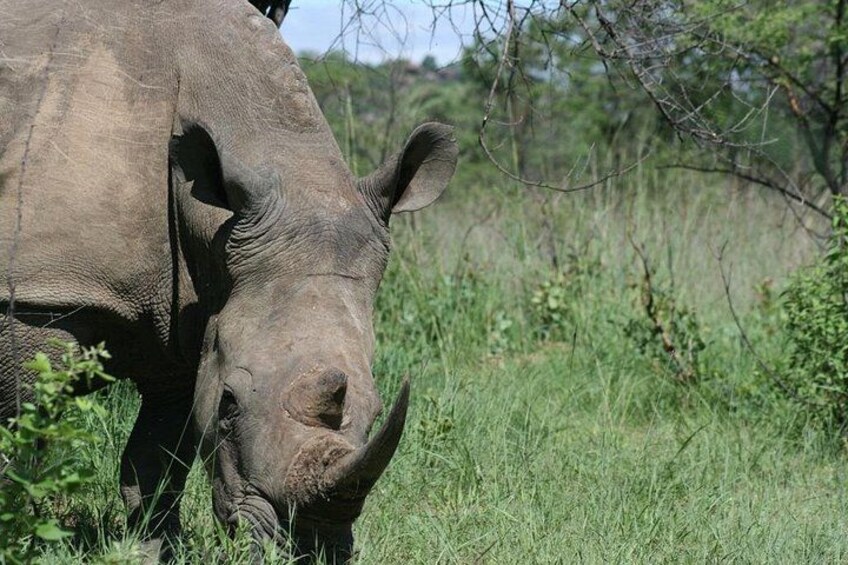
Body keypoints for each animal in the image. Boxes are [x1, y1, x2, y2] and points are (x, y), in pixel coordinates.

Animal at [0, 0, 457, 560]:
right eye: (230, 404)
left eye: (373, 410)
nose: (308, 549)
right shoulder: (38, 295)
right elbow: (25, 440)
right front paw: (21, 539)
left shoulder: (186, 317)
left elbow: (157, 460)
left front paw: (153, 551)